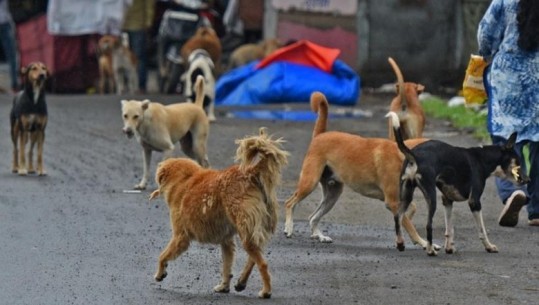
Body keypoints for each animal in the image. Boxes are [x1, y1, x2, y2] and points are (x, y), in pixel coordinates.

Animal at [150, 127, 288, 298]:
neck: (184, 179)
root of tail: (250, 172)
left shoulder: (180, 237)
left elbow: (162, 256)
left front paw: (160, 273)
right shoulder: (226, 241)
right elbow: (226, 267)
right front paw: (224, 286)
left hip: (246, 231)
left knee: (262, 263)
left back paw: (266, 291)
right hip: (254, 230)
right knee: (254, 257)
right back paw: (241, 282)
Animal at [284, 91, 436, 248]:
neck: (403, 154)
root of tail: (320, 135)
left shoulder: (399, 201)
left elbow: (411, 211)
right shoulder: (392, 202)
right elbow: (410, 225)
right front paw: (424, 243)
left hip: (333, 194)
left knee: (313, 217)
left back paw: (319, 236)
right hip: (309, 183)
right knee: (289, 203)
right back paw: (289, 228)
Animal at [388, 110, 532, 255]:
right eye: (518, 163)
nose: (528, 180)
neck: (482, 159)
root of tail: (414, 155)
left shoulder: (447, 201)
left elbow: (449, 229)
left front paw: (449, 248)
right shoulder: (474, 202)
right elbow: (482, 230)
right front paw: (489, 247)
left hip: (406, 194)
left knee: (397, 216)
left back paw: (400, 243)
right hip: (430, 197)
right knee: (428, 225)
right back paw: (430, 250)